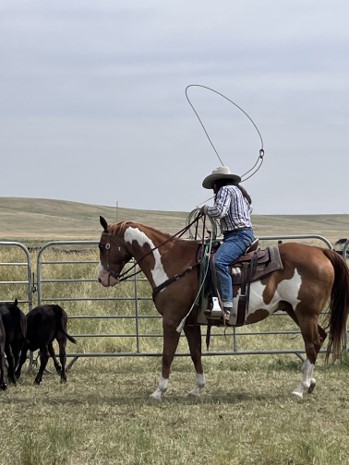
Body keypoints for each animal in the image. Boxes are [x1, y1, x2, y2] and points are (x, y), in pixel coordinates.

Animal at [96, 216, 348, 400]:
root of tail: (321, 251)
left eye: (102, 246)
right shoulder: (190, 322)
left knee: (312, 344)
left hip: (306, 314)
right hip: (296, 312)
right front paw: (197, 389)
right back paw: (311, 383)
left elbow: (167, 355)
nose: (102, 279)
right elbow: (195, 353)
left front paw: (159, 391)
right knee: (319, 338)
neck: (170, 262)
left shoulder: (172, 319)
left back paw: (300, 388)